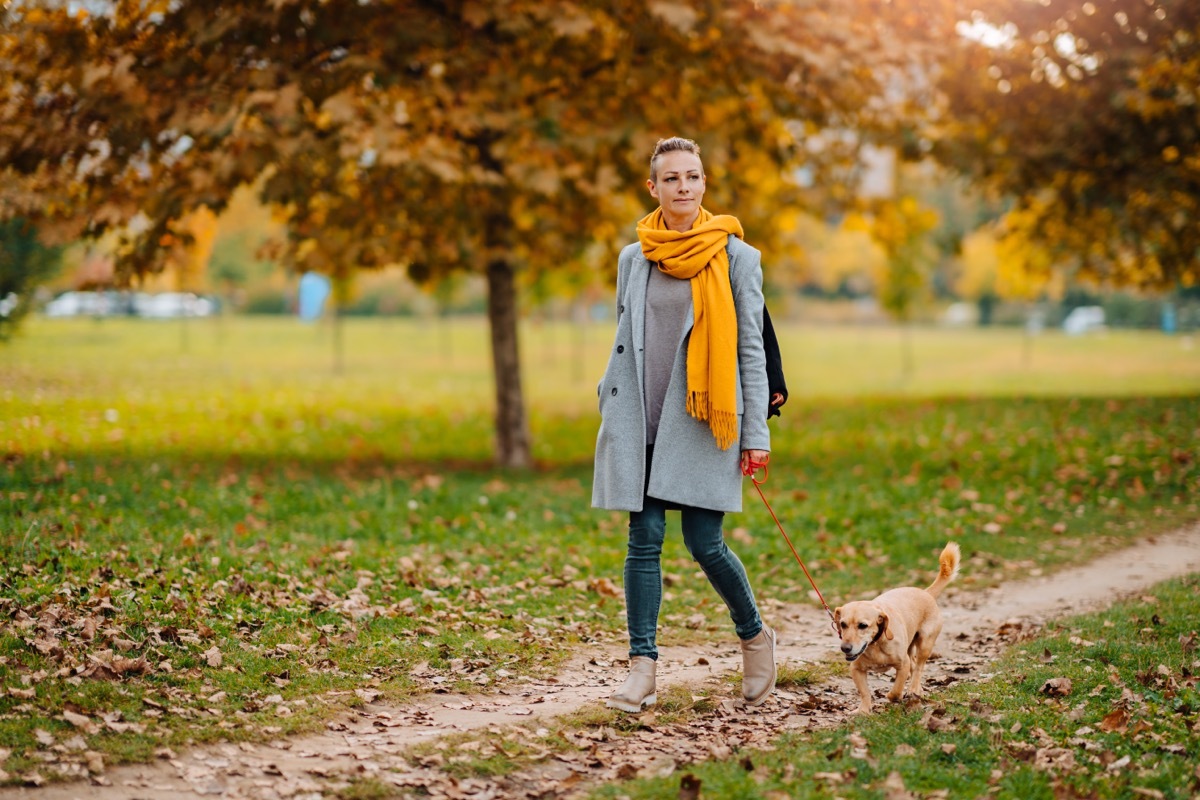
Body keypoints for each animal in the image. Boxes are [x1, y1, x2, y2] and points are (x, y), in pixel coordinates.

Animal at [835, 542, 955, 714]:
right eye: (843, 624)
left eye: (862, 625)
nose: (845, 648)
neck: (876, 645)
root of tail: (926, 593)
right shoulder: (856, 669)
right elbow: (864, 692)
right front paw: (864, 710)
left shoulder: (902, 664)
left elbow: (897, 689)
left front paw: (893, 696)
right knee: (914, 666)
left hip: (925, 643)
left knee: (918, 668)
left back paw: (914, 689)